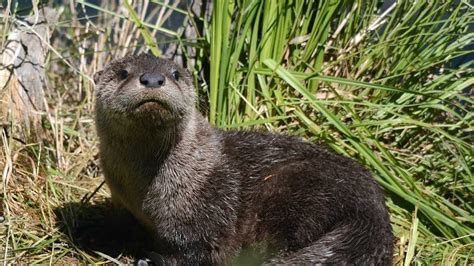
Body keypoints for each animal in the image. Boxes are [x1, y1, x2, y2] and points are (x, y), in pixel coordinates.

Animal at [94, 53, 394, 264]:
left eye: (175, 74)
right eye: (123, 73)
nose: (153, 79)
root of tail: (372, 211)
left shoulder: (207, 210)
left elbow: (199, 250)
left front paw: (152, 259)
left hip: (296, 188)